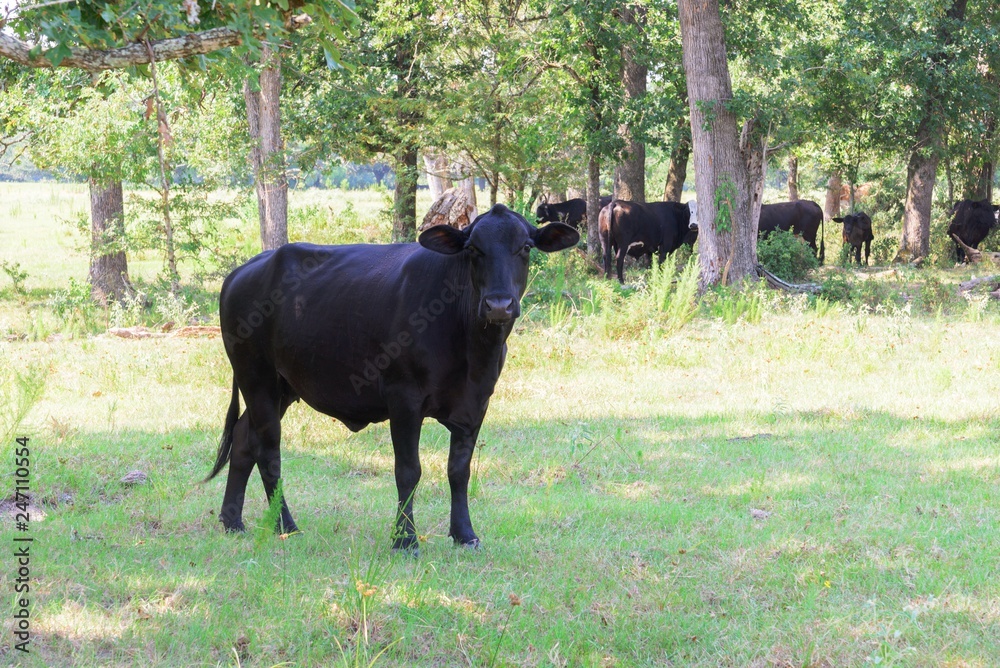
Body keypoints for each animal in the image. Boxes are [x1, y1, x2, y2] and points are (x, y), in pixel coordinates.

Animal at [205, 204, 579, 552]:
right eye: (473, 249)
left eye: (525, 247)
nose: (499, 305)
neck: (472, 351)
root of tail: (243, 271)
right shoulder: (404, 398)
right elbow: (408, 471)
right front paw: (405, 539)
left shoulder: (477, 403)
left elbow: (459, 470)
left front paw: (465, 534)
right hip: (257, 377)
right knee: (269, 451)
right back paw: (286, 524)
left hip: (281, 387)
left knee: (243, 438)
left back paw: (232, 520)